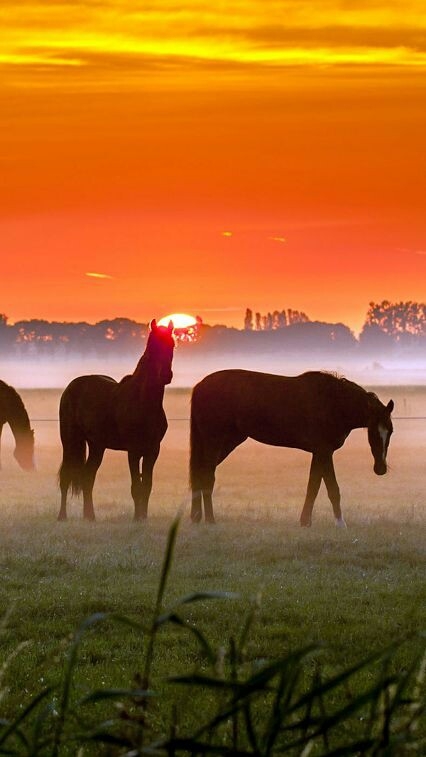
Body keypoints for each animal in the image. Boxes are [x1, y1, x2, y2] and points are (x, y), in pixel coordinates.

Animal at [58, 319, 174, 521]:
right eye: (153, 346)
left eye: (172, 345)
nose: (166, 375)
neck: (143, 402)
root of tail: (70, 387)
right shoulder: (133, 451)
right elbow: (136, 487)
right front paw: (137, 519)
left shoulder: (153, 451)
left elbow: (147, 486)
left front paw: (143, 518)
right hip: (70, 440)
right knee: (66, 475)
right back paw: (62, 516)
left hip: (97, 445)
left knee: (88, 476)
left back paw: (90, 517)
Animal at [190, 370, 394, 527]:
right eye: (373, 432)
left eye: (390, 431)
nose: (381, 468)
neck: (333, 403)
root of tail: (200, 386)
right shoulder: (324, 451)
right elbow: (329, 488)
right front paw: (338, 524)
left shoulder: (319, 453)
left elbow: (316, 486)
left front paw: (308, 522)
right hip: (215, 441)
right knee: (207, 476)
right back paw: (210, 520)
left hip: (226, 441)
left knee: (200, 473)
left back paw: (197, 517)